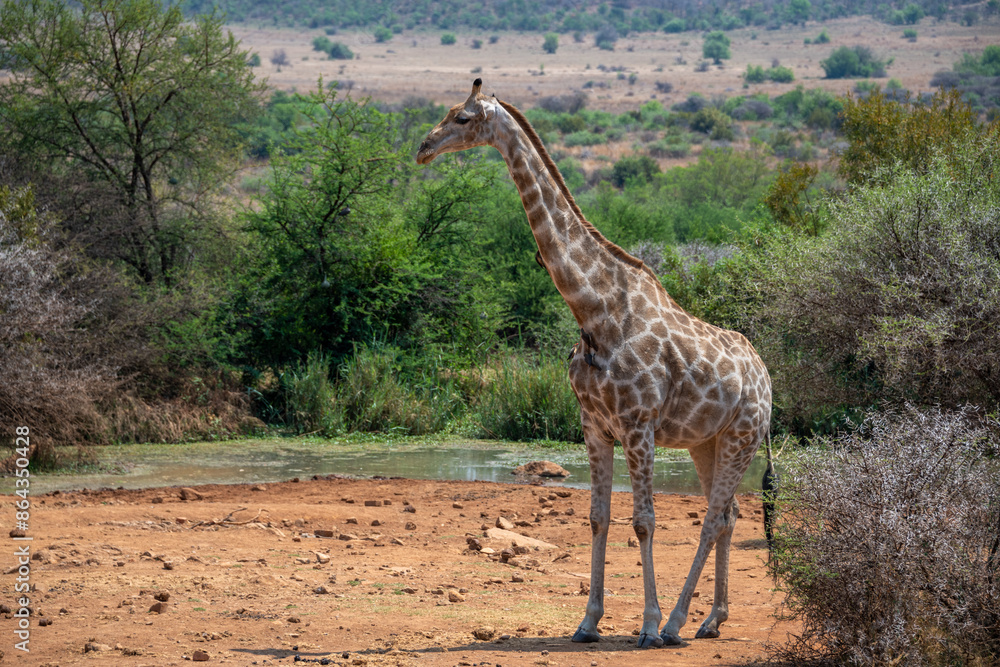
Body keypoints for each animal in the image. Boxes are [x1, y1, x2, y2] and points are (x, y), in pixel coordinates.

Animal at [417, 79, 772, 649]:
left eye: (464, 118)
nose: (424, 148)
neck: (595, 310)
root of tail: (766, 376)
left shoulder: (638, 424)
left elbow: (644, 520)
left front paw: (647, 625)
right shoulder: (594, 424)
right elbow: (598, 517)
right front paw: (587, 622)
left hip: (743, 435)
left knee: (713, 517)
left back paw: (675, 623)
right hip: (707, 442)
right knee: (730, 515)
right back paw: (711, 619)